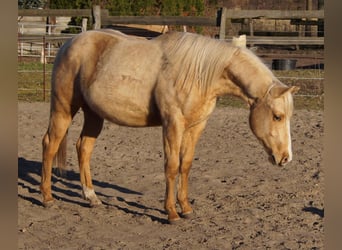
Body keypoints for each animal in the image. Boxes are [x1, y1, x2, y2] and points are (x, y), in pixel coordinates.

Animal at [40, 29, 300, 223]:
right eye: (277, 116)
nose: (285, 158)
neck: (200, 73)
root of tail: (68, 44)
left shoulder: (196, 126)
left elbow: (186, 165)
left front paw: (186, 208)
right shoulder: (172, 124)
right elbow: (172, 166)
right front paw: (171, 212)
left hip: (94, 115)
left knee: (83, 148)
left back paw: (92, 197)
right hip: (64, 109)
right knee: (50, 144)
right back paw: (47, 198)